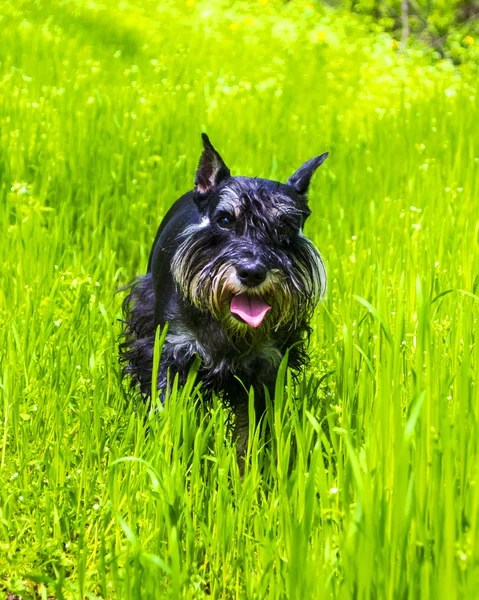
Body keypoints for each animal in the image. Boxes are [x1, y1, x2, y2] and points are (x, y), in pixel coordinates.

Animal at [122, 134, 328, 458]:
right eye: (225, 220)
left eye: (285, 226)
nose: (252, 272)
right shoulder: (170, 355)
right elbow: (170, 418)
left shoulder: (265, 369)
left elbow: (251, 433)